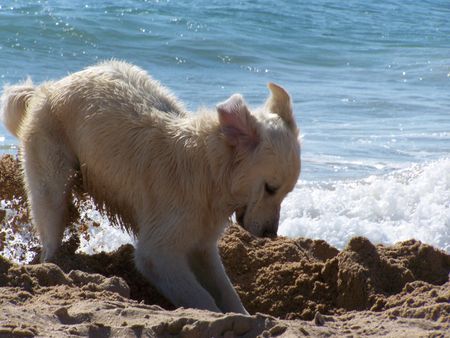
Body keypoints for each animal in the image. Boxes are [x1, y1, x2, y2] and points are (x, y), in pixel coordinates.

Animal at [2, 60, 302, 314]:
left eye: (287, 192)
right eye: (270, 188)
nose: (270, 234)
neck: (208, 169)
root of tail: (47, 88)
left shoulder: (203, 244)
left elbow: (226, 290)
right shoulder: (158, 251)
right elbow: (200, 296)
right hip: (51, 176)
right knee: (50, 225)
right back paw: (56, 268)